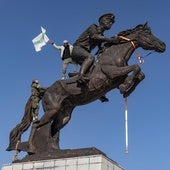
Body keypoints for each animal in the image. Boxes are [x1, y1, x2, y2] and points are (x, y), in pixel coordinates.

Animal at [6, 22, 166, 154]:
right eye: (147, 33)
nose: (163, 45)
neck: (114, 54)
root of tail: (45, 90)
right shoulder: (111, 72)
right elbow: (137, 67)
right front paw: (127, 87)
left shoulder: (118, 77)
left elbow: (140, 74)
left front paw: (127, 87)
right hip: (52, 110)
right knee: (37, 124)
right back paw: (32, 149)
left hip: (64, 115)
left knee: (54, 129)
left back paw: (55, 150)